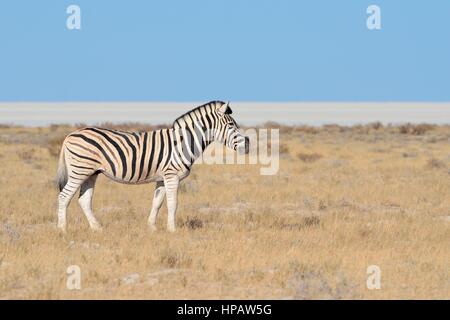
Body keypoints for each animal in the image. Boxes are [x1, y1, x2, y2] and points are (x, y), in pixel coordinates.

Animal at [55, 100, 250, 232]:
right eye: (231, 125)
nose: (247, 144)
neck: (183, 143)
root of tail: (70, 134)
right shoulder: (171, 176)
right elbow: (173, 203)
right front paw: (172, 230)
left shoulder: (162, 178)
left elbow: (157, 202)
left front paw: (152, 228)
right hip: (79, 171)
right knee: (64, 196)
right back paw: (63, 229)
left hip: (91, 173)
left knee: (84, 200)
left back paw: (97, 228)